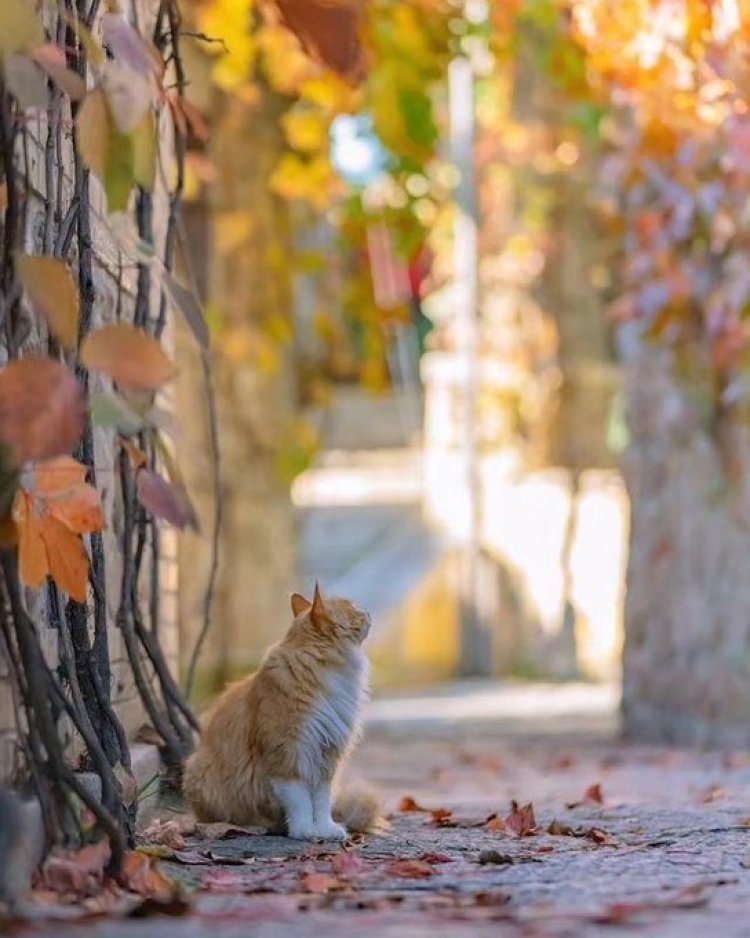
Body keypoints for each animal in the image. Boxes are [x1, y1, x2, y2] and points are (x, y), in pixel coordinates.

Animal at [183, 584, 382, 840]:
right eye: (353, 607)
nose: (368, 613)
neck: (325, 670)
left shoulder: (325, 756)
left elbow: (322, 801)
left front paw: (326, 829)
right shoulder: (287, 754)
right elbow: (300, 801)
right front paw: (304, 830)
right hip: (201, 773)